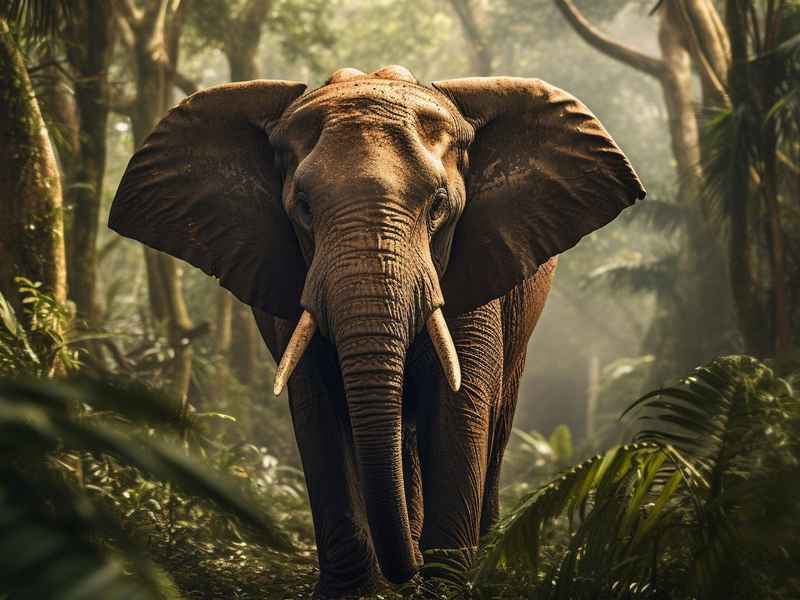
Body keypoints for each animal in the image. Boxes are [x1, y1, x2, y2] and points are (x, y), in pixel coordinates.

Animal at [109, 65, 645, 597]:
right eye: (303, 206)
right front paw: (351, 592)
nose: (407, 568)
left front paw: (442, 587)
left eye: (438, 205)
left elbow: (458, 405)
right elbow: (318, 408)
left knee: (497, 421)